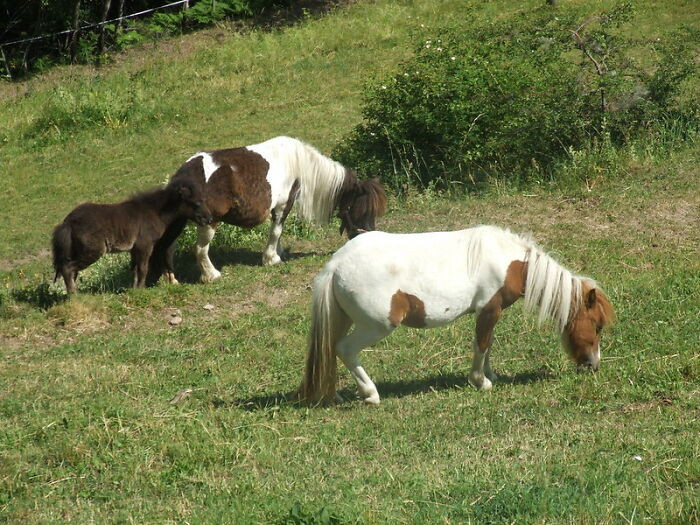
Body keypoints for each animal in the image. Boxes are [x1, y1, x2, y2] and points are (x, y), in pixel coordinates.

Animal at [52, 178, 212, 294]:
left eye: (204, 199)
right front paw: (141, 290)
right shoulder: (145, 245)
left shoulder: (135, 249)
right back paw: (74, 295)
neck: (155, 212)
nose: (209, 219)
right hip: (93, 251)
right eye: (195, 203)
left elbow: (135, 269)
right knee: (68, 268)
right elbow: (143, 268)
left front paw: (134, 290)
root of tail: (68, 223)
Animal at [153, 136, 387, 284]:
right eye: (362, 210)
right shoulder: (284, 204)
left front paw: (277, 252)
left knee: (168, 247)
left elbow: (277, 233)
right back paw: (211, 275)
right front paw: (271, 258)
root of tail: (182, 178)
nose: (369, 237)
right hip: (209, 222)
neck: (296, 162)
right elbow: (276, 231)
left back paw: (170, 278)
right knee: (200, 249)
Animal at [299, 225, 615, 405]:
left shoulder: (490, 312)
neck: (511, 262)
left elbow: (488, 345)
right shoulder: (488, 309)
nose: (593, 365)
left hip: (345, 320)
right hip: (376, 326)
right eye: (598, 326)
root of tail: (336, 264)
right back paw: (370, 394)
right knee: (344, 349)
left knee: (330, 348)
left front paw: (490, 374)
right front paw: (480, 381)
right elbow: (482, 344)